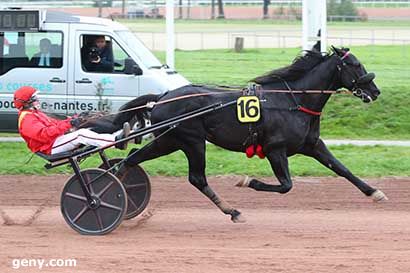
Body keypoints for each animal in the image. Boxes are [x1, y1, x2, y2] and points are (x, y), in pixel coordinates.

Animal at [109, 45, 384, 222]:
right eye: (355, 64)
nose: (375, 90)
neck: (293, 100)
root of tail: (162, 97)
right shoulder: (275, 149)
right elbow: (286, 185)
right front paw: (248, 181)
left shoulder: (312, 145)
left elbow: (342, 169)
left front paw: (374, 192)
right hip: (187, 140)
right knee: (191, 176)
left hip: (172, 141)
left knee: (135, 158)